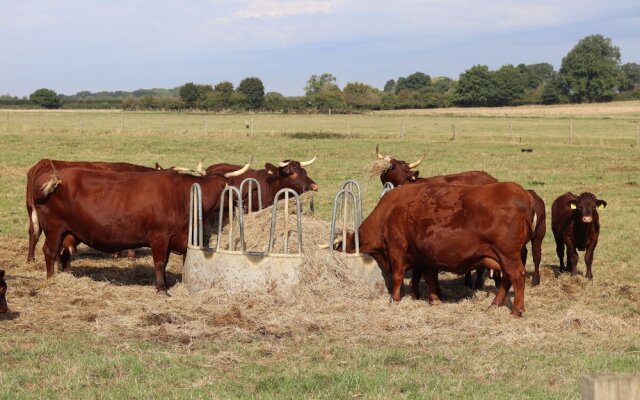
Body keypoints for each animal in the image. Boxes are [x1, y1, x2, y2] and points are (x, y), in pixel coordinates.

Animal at [31, 166, 248, 294]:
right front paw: (161, 289)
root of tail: (52, 177)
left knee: (63, 253)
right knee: (50, 252)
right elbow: (160, 263)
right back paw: (51, 279)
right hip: (54, 228)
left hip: (69, 231)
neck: (185, 196)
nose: (240, 206)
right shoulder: (159, 236)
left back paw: (68, 276)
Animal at [344, 183, 536, 318]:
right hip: (503, 257)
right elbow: (429, 278)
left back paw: (516, 310)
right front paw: (434, 299)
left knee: (517, 276)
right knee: (507, 279)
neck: (388, 211)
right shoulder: (424, 256)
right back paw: (495, 304)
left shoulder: (397, 247)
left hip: (508, 255)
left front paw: (395, 299)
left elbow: (398, 276)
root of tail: (522, 193)